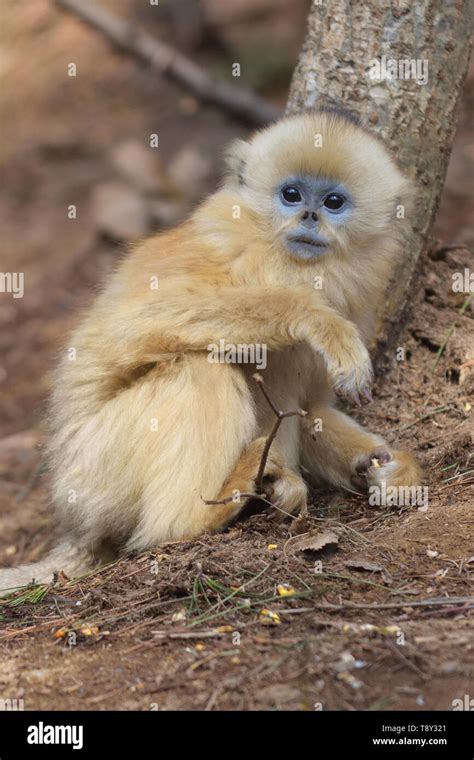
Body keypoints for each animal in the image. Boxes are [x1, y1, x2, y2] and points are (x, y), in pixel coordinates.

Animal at [0, 110, 422, 592]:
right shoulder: (232, 246)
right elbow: (134, 321)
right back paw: (197, 516)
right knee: (200, 368)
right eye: (291, 195)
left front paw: (384, 464)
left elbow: (312, 407)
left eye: (333, 202)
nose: (311, 215)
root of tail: (75, 526)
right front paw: (317, 318)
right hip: (93, 471)